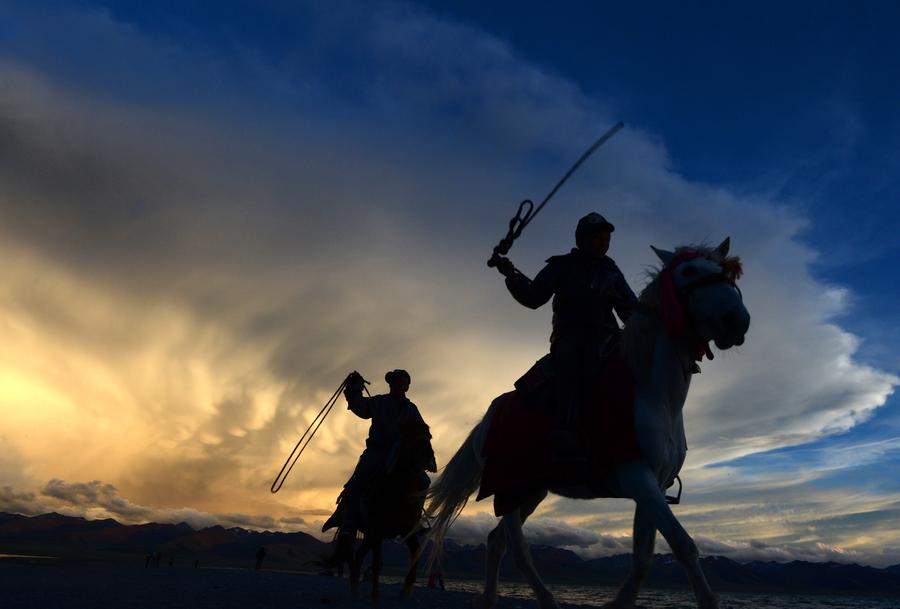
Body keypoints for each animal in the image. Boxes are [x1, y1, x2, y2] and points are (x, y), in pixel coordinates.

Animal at [324, 418, 436, 600]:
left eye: (429, 435)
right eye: (407, 435)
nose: (428, 458)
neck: (397, 491)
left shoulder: (406, 530)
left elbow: (416, 553)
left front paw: (405, 592)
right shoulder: (377, 530)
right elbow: (377, 563)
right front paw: (375, 595)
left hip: (369, 536)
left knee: (358, 555)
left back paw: (356, 589)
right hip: (364, 531)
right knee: (352, 555)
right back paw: (355, 589)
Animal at [426, 238, 748, 608]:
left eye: (725, 272)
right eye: (689, 271)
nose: (738, 321)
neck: (653, 392)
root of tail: (487, 419)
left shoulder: (654, 483)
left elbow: (643, 558)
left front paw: (619, 602)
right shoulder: (637, 476)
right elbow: (683, 545)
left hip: (530, 489)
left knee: (496, 541)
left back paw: (491, 599)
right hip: (507, 488)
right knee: (517, 547)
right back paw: (545, 599)